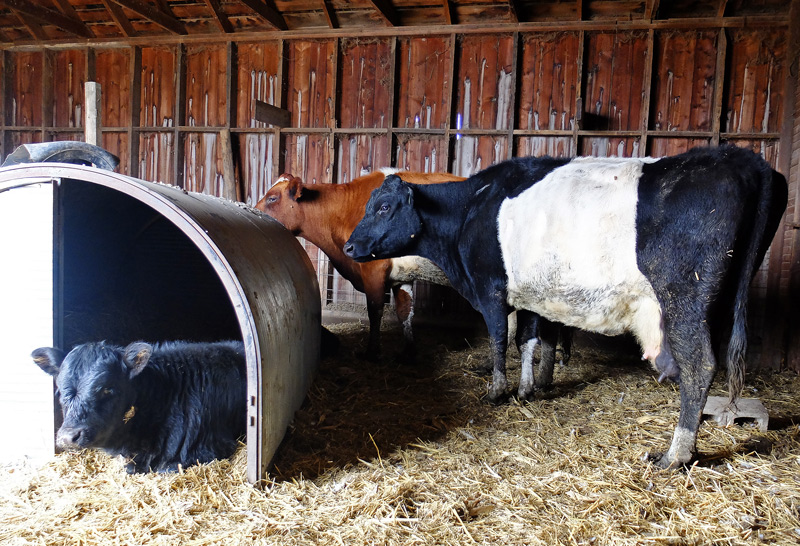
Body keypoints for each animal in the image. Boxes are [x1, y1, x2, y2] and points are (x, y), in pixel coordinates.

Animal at [344, 146, 788, 468]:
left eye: (383, 207)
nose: (349, 246)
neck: (473, 207)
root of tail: (743, 158)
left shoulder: (491, 290)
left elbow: (498, 339)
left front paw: (497, 391)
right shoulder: (530, 296)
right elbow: (528, 340)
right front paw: (527, 389)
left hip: (684, 299)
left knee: (699, 367)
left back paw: (675, 455)